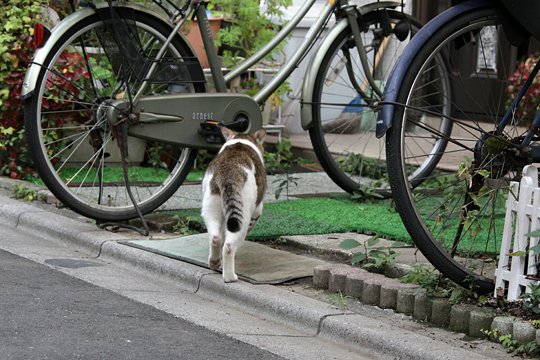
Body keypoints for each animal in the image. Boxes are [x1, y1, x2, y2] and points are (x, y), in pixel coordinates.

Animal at [199, 128, 266, 282]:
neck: (240, 141)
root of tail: (229, 172)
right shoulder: (257, 210)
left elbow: (222, 233)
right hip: (243, 215)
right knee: (229, 246)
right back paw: (230, 277)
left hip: (211, 207)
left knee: (215, 238)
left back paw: (214, 262)